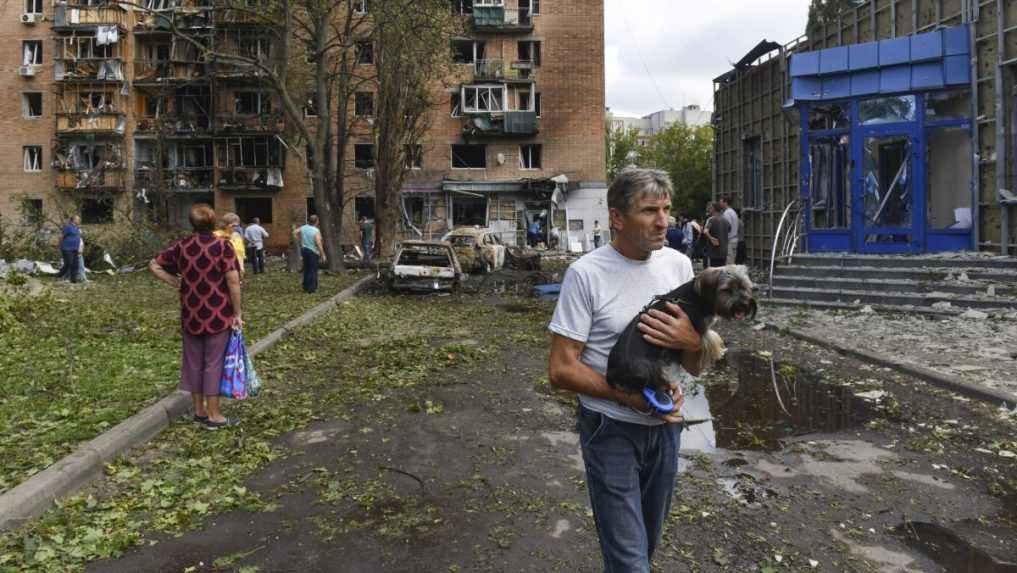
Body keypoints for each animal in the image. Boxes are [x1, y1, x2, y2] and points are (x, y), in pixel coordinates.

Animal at [602, 266, 756, 411]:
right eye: (727, 290)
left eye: (745, 287)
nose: (744, 305)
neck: (698, 297)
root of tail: (611, 375)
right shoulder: (699, 328)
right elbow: (711, 338)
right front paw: (719, 350)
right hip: (648, 367)